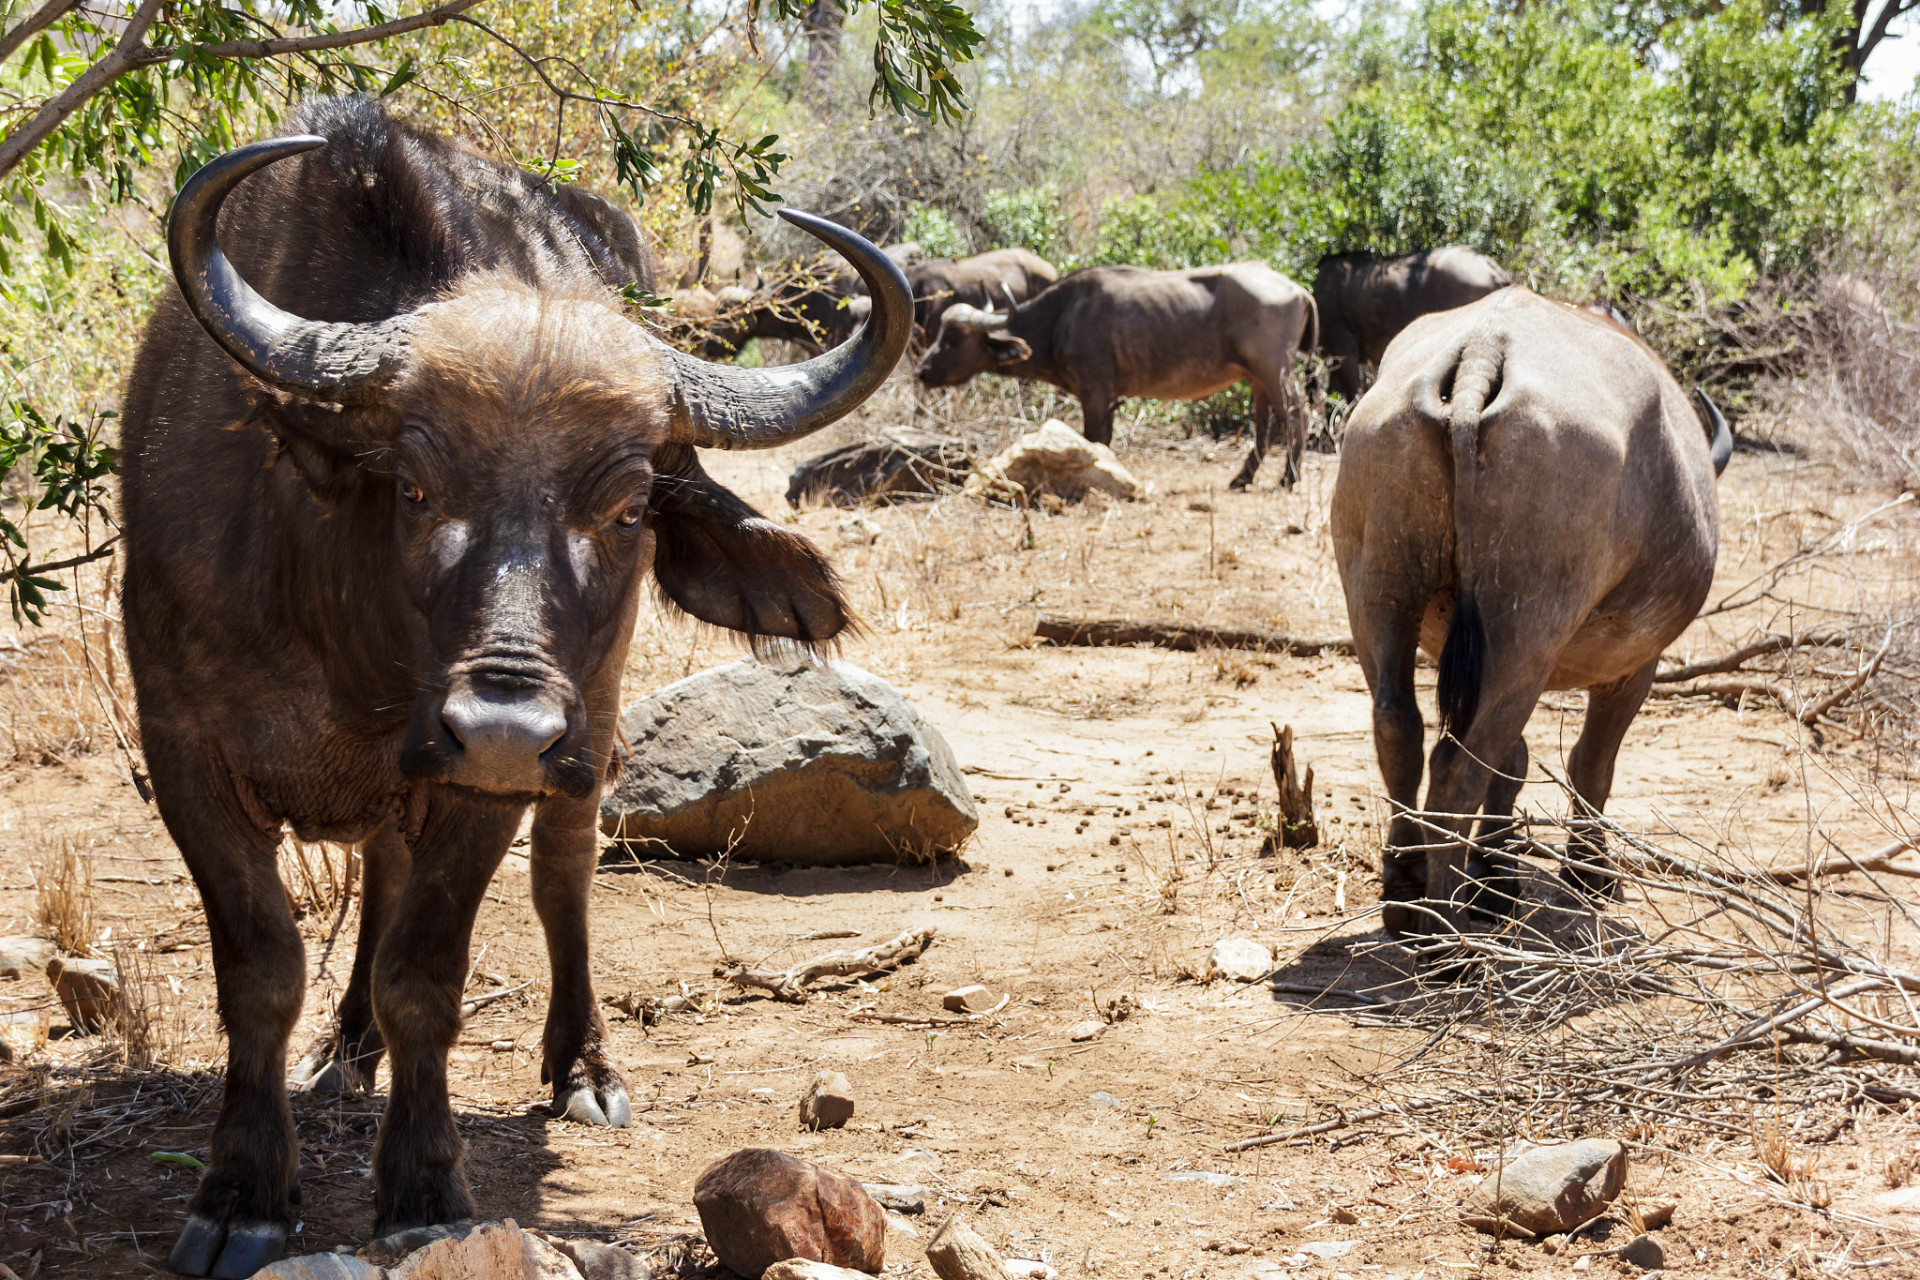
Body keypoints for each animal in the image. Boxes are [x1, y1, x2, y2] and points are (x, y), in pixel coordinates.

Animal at [121, 94, 913, 1274]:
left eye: (628, 509)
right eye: (413, 486)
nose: (501, 724)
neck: (346, 630)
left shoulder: (485, 787)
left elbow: (426, 975)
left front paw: (423, 1185)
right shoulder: (185, 752)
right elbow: (262, 967)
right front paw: (242, 1189)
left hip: (589, 727)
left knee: (561, 874)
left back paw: (582, 1064)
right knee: (382, 873)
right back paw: (344, 1049)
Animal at [913, 262, 1320, 487]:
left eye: (952, 339)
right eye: (941, 333)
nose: (922, 371)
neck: (1061, 317)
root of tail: (1297, 288)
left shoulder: (1094, 395)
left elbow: (1095, 440)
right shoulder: (1107, 400)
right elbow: (1103, 441)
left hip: (1274, 371)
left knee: (1297, 414)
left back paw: (1289, 477)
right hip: (1255, 378)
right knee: (1265, 426)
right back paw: (1242, 478)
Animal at [1328, 287, 1735, 940]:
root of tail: (1482, 353)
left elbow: (1513, 762)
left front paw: (1495, 878)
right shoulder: (1634, 666)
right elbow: (1591, 762)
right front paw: (1588, 872)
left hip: (1382, 588)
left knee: (1400, 727)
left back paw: (1406, 887)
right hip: (1524, 627)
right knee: (1458, 766)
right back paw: (1445, 937)